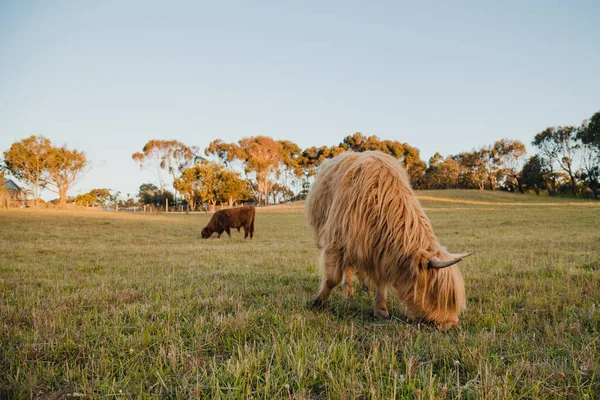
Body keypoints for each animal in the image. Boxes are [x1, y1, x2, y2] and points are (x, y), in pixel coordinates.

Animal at [310, 152, 474, 330]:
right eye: (436, 294)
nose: (451, 324)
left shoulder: (379, 250)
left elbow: (380, 280)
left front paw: (381, 310)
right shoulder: (336, 241)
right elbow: (332, 279)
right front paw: (318, 303)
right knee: (348, 267)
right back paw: (348, 291)